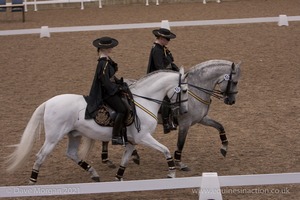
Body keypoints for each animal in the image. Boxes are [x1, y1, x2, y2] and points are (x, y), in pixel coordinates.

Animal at [6, 69, 188, 183]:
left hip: (74, 134)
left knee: (71, 154)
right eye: (185, 91)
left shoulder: (132, 141)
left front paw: (118, 178)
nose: (184, 111)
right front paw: (171, 173)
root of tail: (48, 102)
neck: (144, 100)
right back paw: (32, 181)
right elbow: (165, 150)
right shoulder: (143, 137)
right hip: (53, 138)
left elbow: (125, 160)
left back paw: (93, 173)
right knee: (40, 156)